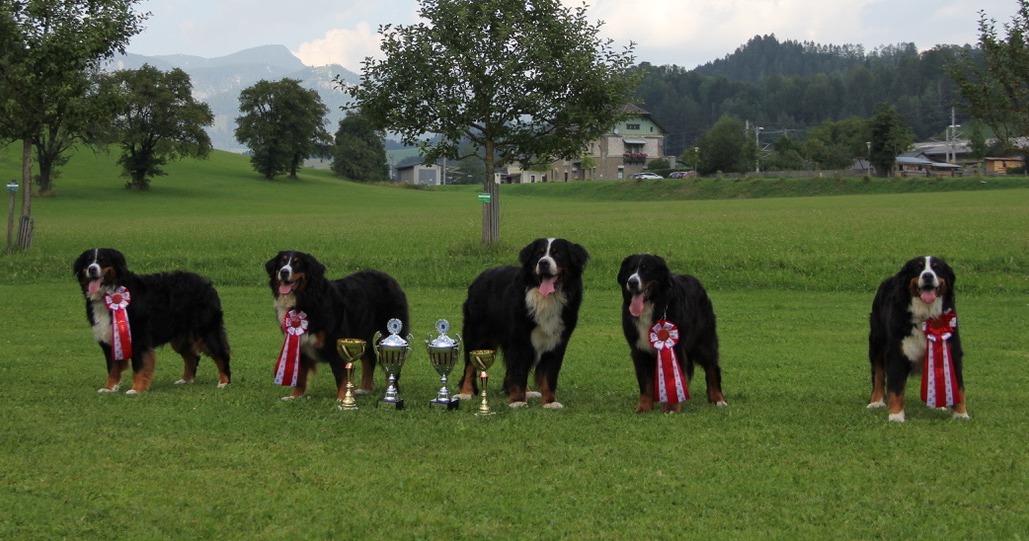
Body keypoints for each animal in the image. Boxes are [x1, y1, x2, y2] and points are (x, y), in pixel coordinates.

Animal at [73, 248, 232, 394]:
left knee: (221, 353)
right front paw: (109, 388)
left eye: (103, 260)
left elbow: (140, 366)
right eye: (88, 261)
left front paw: (136, 389)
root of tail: (207, 283)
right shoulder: (108, 337)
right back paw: (185, 380)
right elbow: (113, 367)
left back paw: (224, 382)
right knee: (192, 357)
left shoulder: (138, 338)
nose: (92, 269)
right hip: (180, 336)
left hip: (206, 329)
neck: (110, 294)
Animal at [265, 250, 410, 400]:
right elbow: (300, 375)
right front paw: (294, 397)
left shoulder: (335, 342)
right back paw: (365, 389)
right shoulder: (299, 343)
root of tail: (389, 278)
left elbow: (340, 375)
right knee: (368, 361)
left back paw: (392, 391)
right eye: (282, 262)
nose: (284, 272)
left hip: (386, 334)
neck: (306, 299)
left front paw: (342, 398)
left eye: (297, 263)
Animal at [455, 238, 589, 409]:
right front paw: (518, 401)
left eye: (558, 254)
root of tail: (481, 275)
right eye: (539, 254)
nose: (543, 263)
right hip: (477, 333)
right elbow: (518, 371)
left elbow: (549, 374)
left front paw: (550, 402)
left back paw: (529, 391)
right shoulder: (519, 338)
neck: (546, 299)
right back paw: (465, 393)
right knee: (470, 366)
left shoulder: (556, 341)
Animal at [618, 254, 725, 413]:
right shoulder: (639, 350)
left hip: (704, 341)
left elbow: (672, 377)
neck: (652, 308)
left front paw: (671, 407)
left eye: (646, 269)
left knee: (712, 367)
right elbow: (645, 382)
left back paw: (718, 399)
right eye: (630, 270)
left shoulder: (675, 347)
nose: (632, 282)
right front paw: (644, 407)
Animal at [867, 255, 966, 422]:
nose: (927, 276)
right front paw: (896, 416)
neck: (926, 316)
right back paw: (876, 402)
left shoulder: (952, 351)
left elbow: (958, 386)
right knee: (879, 374)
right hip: (877, 344)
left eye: (936, 267)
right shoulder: (897, 353)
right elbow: (896, 387)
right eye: (918, 268)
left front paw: (961, 414)